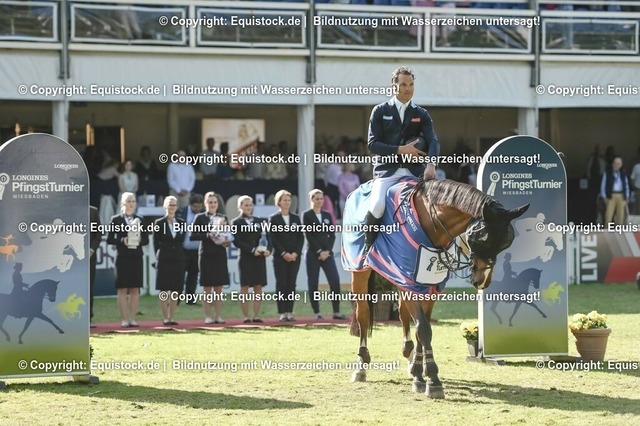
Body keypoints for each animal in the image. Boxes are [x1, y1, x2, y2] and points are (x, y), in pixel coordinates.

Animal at [344, 178, 528, 399]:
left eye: (505, 244)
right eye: (481, 239)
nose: (482, 280)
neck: (430, 226)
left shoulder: (428, 286)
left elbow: (421, 329)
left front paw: (418, 373)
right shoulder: (410, 283)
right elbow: (423, 329)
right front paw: (432, 379)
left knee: (403, 315)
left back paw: (408, 354)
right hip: (360, 273)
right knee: (363, 314)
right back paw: (361, 366)